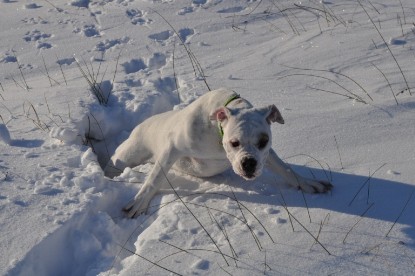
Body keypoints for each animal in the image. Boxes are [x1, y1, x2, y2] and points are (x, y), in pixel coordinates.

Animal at [105, 88, 334, 218]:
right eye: (234, 143)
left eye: (263, 142)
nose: (249, 163)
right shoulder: (172, 148)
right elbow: (154, 178)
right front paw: (140, 202)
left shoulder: (268, 156)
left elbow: (285, 169)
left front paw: (308, 183)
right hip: (130, 153)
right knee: (115, 160)